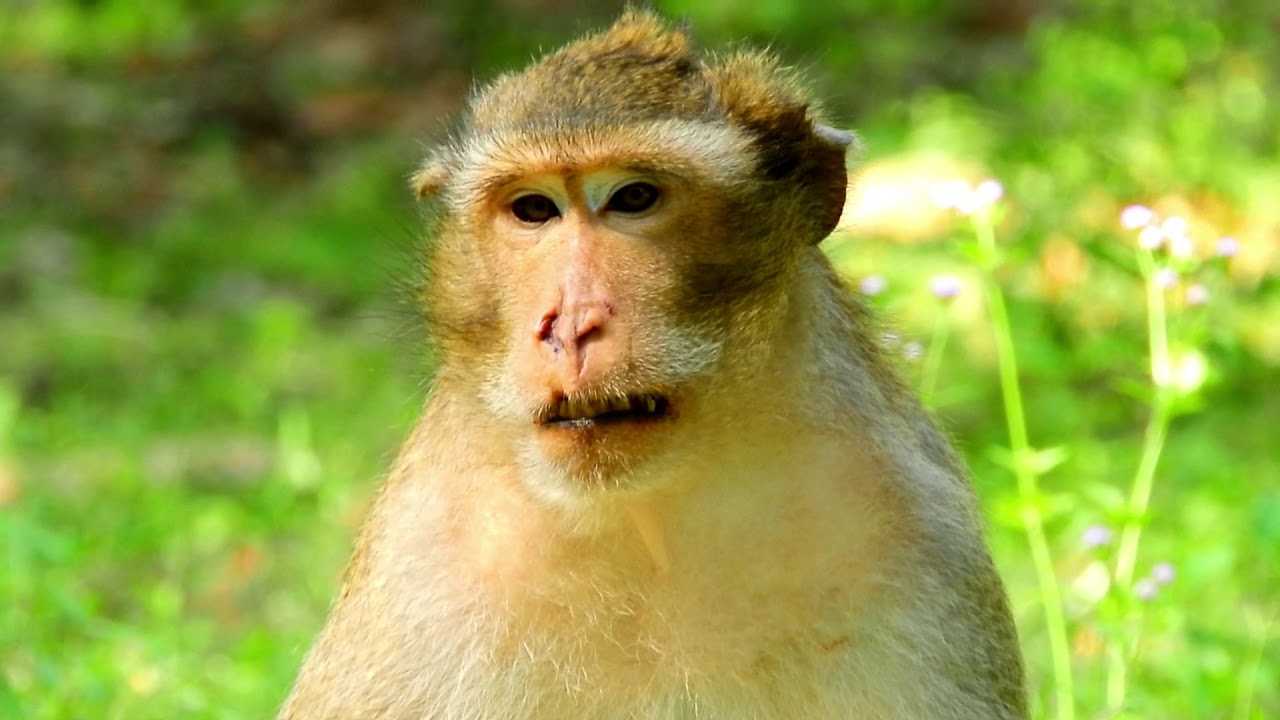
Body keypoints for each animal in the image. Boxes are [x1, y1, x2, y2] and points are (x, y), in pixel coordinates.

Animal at [278, 10, 1027, 720]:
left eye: (634, 198)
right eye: (534, 209)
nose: (570, 327)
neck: (647, 513)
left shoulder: (913, 528)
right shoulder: (422, 557)